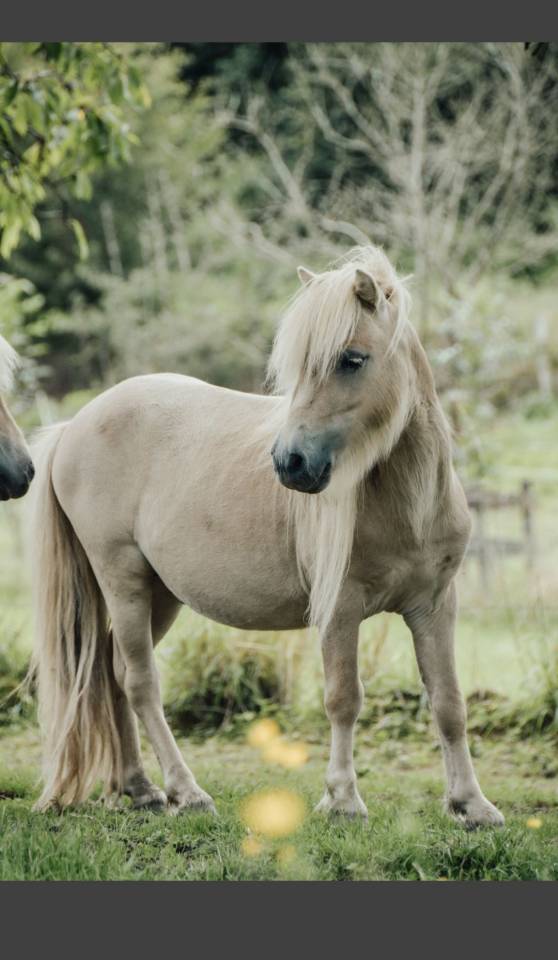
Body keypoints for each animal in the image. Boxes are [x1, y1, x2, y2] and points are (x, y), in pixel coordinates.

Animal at [30, 245, 503, 827]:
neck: (408, 505)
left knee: (113, 673)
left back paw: (139, 788)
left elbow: (449, 702)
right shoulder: (339, 608)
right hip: (123, 579)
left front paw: (472, 804)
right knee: (140, 682)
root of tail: (74, 425)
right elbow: (344, 698)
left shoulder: (435, 605)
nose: (290, 463)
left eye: (352, 359)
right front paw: (342, 799)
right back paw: (186, 791)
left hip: (159, 595)